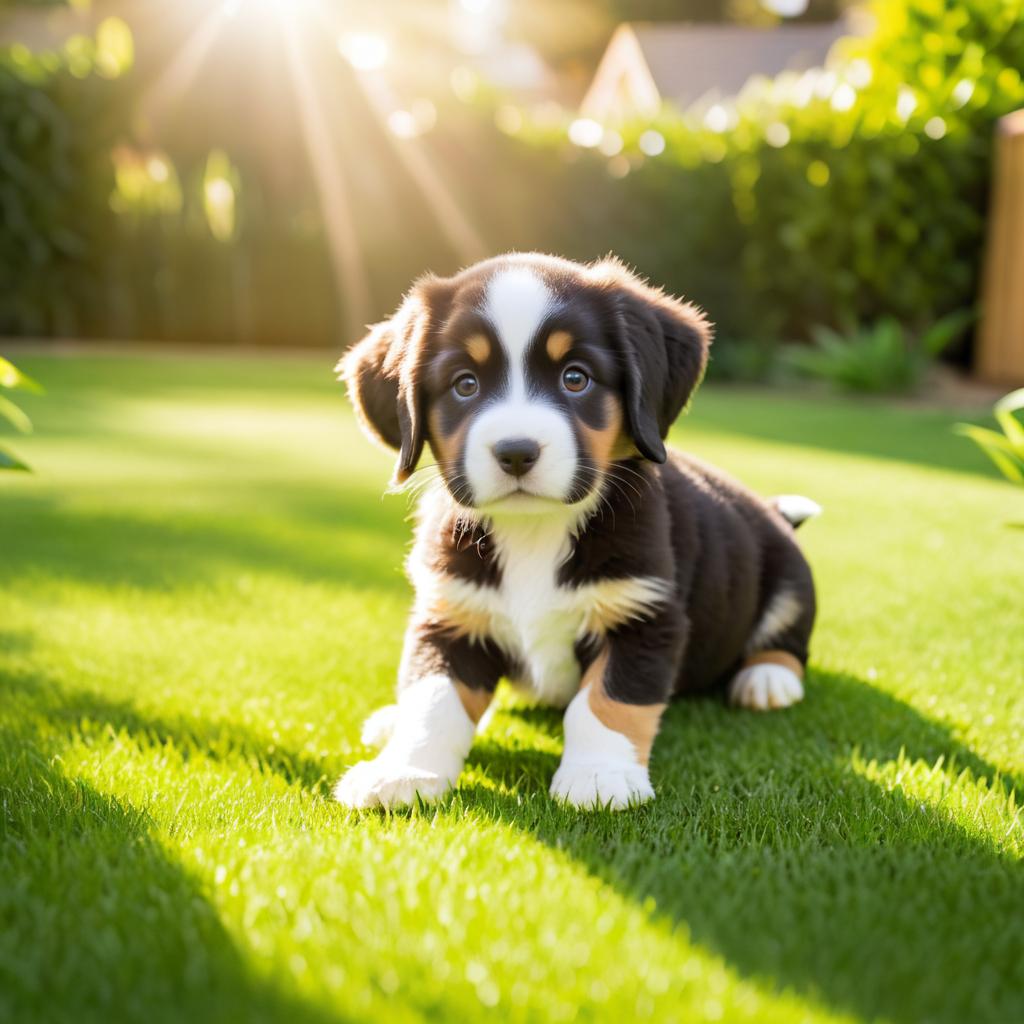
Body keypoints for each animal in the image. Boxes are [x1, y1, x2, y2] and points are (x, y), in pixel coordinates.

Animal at [333, 249, 815, 806]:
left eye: (576, 378)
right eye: (465, 384)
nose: (516, 452)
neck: (534, 531)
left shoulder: (644, 615)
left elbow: (606, 700)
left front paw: (598, 775)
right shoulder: (451, 616)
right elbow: (434, 701)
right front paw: (404, 771)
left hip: (789, 575)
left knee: (788, 638)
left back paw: (767, 679)